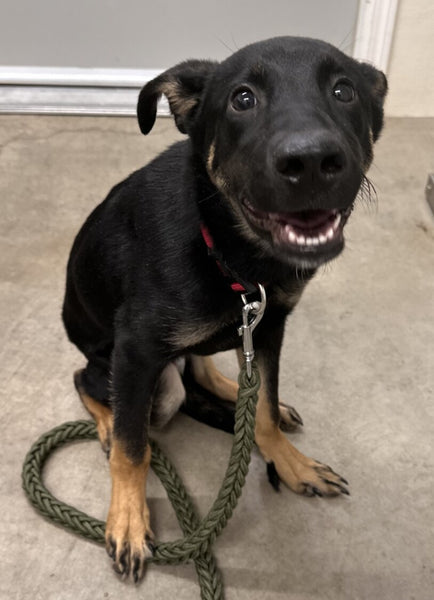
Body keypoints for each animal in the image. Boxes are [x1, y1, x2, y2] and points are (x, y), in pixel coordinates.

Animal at [62, 37, 386, 580]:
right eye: (242, 99)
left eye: (345, 91)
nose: (312, 161)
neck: (230, 252)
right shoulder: (136, 350)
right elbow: (132, 448)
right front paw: (127, 518)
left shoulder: (269, 326)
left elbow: (267, 408)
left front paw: (290, 461)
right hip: (137, 374)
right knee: (91, 383)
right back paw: (107, 421)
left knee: (205, 370)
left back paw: (236, 394)